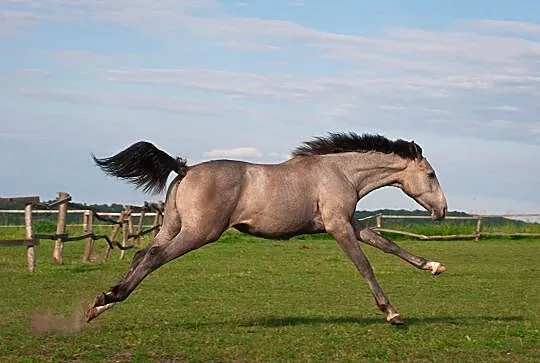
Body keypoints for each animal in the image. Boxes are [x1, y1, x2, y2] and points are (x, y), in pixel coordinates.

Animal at [85, 132, 448, 326]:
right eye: (431, 174)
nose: (442, 211)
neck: (339, 172)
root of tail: (184, 169)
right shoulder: (338, 227)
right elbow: (365, 265)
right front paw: (392, 313)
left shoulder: (351, 223)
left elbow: (388, 245)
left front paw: (434, 266)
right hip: (200, 232)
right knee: (153, 257)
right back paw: (105, 300)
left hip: (173, 226)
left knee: (142, 254)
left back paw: (102, 303)